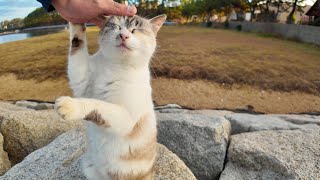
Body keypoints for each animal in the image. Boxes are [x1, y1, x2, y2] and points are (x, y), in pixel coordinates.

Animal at [53, 14, 166, 180]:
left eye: (135, 30)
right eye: (117, 26)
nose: (123, 35)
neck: (115, 66)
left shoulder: (126, 118)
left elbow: (97, 104)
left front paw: (69, 105)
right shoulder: (80, 80)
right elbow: (77, 43)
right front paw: (76, 20)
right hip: (88, 166)